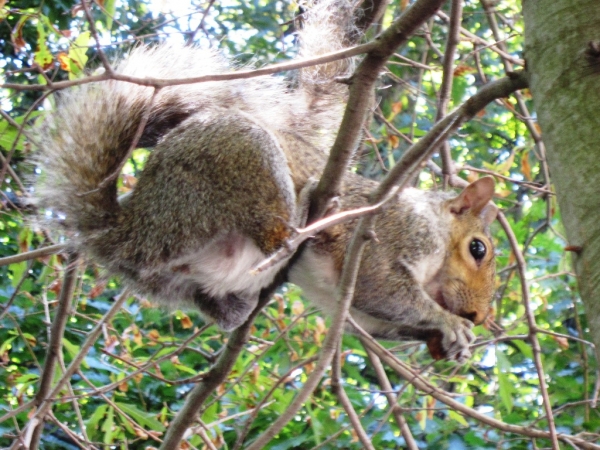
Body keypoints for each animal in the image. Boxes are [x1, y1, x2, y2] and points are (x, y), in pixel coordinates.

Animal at [31, 0, 496, 362]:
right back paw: (307, 212)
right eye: (478, 249)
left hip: (178, 281)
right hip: (239, 164)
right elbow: (380, 288)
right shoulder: (390, 232)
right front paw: (447, 322)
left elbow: (375, 317)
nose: (479, 317)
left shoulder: (356, 308)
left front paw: (450, 343)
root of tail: (128, 228)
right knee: (277, 238)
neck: (436, 234)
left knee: (227, 306)